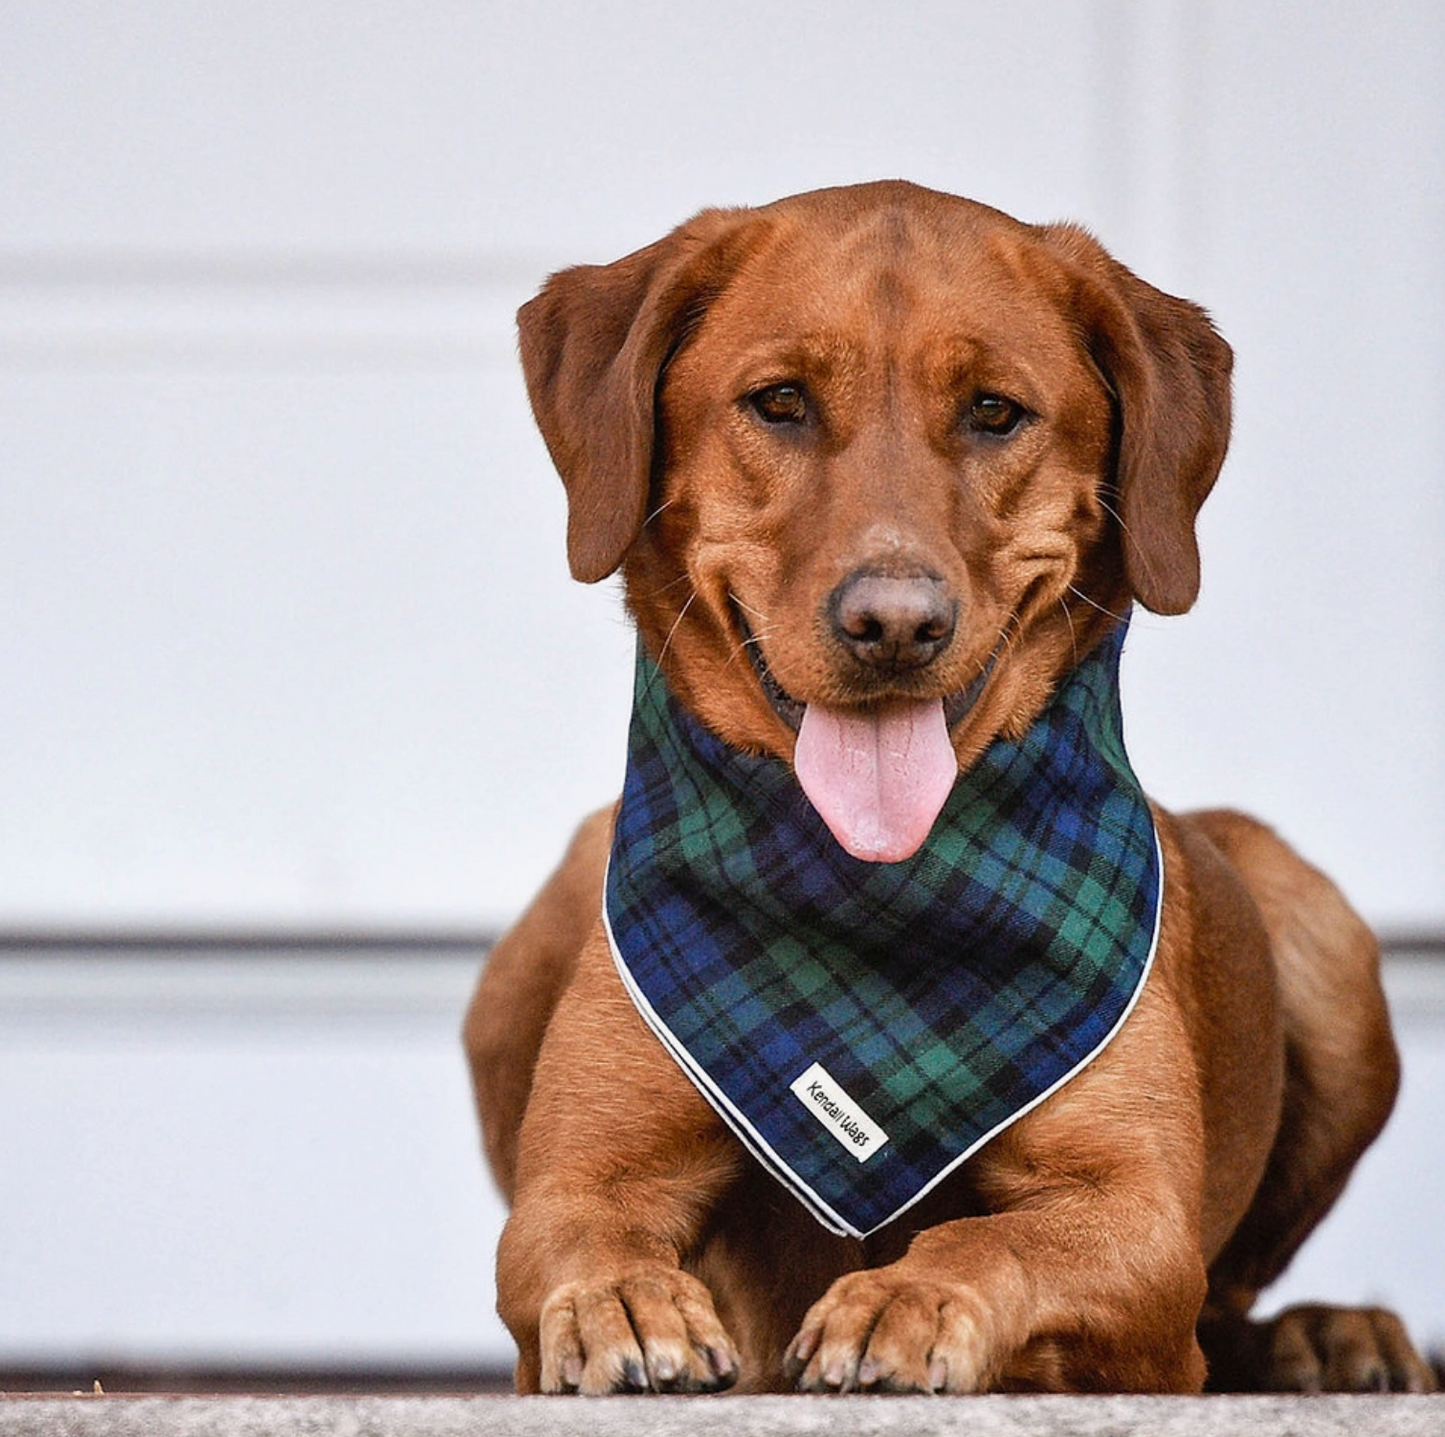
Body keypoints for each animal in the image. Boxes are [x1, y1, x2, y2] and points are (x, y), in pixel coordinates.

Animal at [465, 176, 1433, 1387]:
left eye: (994, 412)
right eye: (779, 402)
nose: (893, 623)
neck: (872, 893)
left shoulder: (1133, 1210)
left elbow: (988, 1234)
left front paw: (904, 1298)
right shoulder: (582, 1174)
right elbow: (579, 1233)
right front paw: (620, 1303)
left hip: (1313, 924)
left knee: (1233, 1298)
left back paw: (1330, 1333)